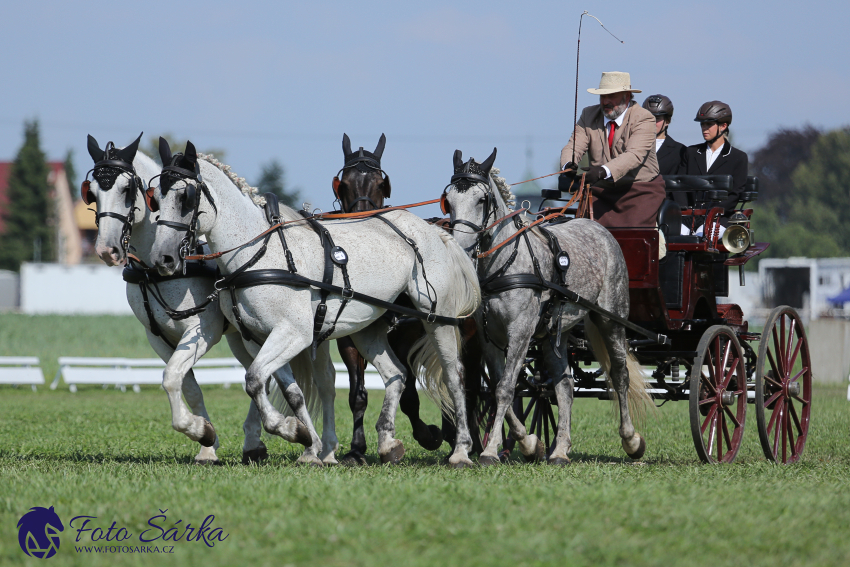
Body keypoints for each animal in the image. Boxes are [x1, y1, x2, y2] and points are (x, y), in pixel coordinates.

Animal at [83, 134, 322, 466]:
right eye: (91, 193)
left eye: (127, 189)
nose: (107, 250)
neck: (154, 269)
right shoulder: (158, 338)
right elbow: (187, 386)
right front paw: (206, 442)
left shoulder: (202, 331)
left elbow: (171, 377)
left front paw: (200, 431)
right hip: (243, 337)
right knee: (263, 375)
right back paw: (260, 443)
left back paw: (302, 442)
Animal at [146, 138, 476, 466]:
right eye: (155, 199)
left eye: (186, 196)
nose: (163, 259)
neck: (258, 253)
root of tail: (434, 230)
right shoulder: (260, 338)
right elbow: (288, 391)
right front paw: (308, 441)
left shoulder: (294, 333)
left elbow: (254, 379)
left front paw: (289, 430)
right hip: (367, 328)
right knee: (395, 374)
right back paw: (387, 443)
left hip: (438, 320)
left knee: (454, 376)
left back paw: (461, 450)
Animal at [438, 148, 648, 466]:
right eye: (448, 200)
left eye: (481, 199)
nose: (461, 249)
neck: (504, 264)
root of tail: (598, 227)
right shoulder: (489, 338)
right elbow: (499, 386)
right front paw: (529, 443)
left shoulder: (521, 332)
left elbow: (505, 389)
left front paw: (490, 451)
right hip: (554, 333)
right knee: (564, 385)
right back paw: (559, 450)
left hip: (611, 319)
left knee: (620, 375)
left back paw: (631, 440)